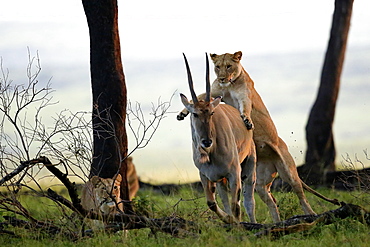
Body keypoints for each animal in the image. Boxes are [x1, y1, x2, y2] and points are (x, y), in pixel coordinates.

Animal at [180, 54, 256, 224]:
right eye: (195, 114)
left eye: (212, 113)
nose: (206, 142)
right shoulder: (205, 176)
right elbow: (212, 203)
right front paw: (228, 220)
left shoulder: (234, 173)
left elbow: (236, 207)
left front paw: (236, 224)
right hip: (220, 181)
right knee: (226, 200)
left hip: (248, 171)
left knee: (249, 201)